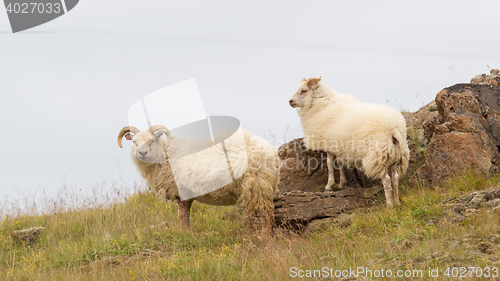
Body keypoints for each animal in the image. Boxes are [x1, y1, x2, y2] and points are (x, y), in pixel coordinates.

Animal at [118, 124, 282, 230]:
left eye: (151, 141)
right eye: (134, 142)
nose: (142, 153)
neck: (165, 154)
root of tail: (271, 153)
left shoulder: (181, 192)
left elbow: (182, 216)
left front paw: (185, 235)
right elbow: (186, 216)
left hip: (256, 185)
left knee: (265, 214)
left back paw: (263, 239)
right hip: (262, 187)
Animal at [290, 76, 410, 206]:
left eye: (304, 90)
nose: (290, 101)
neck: (322, 104)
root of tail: (393, 129)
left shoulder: (328, 143)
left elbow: (330, 164)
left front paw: (329, 185)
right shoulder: (339, 145)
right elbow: (340, 163)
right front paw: (342, 183)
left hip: (379, 156)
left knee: (387, 180)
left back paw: (389, 205)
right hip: (397, 156)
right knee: (395, 178)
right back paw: (397, 202)